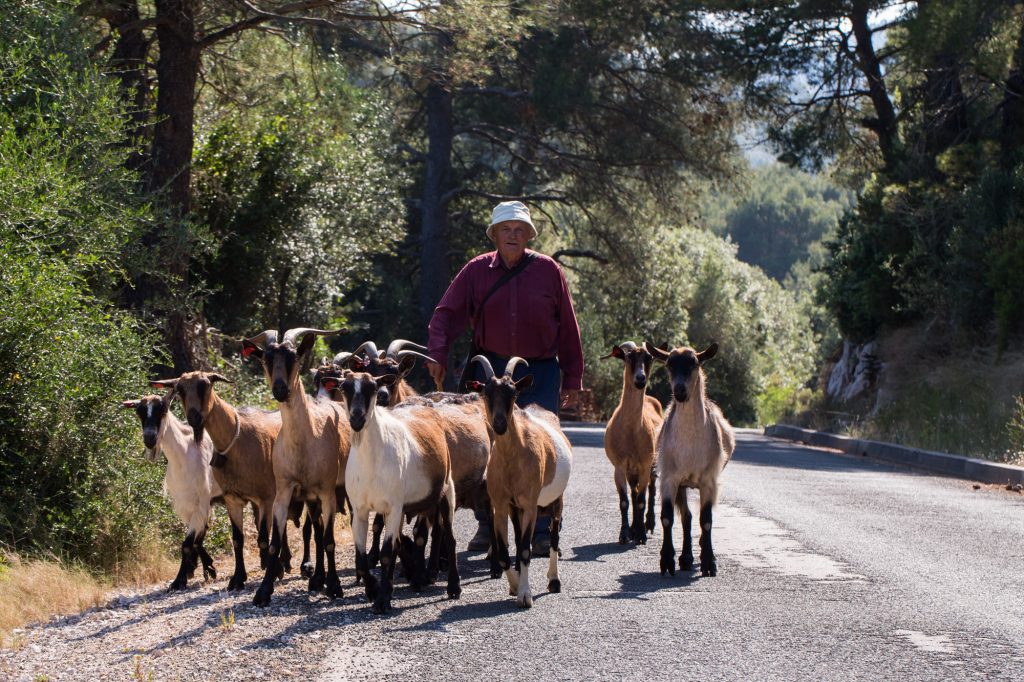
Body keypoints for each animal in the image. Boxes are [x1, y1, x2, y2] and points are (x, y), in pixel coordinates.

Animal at [122, 393, 221, 589]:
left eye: (163, 410)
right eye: (139, 412)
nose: (150, 439)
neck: (185, 455)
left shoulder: (201, 504)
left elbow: (188, 543)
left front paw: (179, 580)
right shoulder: (185, 506)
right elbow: (197, 539)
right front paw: (202, 568)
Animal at [241, 327, 350, 602]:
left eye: (293, 357)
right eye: (267, 358)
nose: (280, 389)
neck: (304, 444)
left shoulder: (327, 491)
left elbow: (331, 540)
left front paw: (335, 586)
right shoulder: (283, 491)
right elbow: (274, 542)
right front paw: (263, 591)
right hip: (310, 499)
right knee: (317, 531)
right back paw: (317, 579)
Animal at [327, 368, 460, 614]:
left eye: (373, 388)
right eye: (344, 388)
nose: (357, 418)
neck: (371, 461)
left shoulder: (393, 507)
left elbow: (387, 554)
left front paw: (381, 602)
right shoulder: (359, 510)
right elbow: (362, 557)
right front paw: (373, 589)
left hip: (447, 492)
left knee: (450, 538)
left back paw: (453, 587)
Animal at [468, 356, 573, 606]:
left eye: (513, 393)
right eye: (486, 392)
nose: (499, 424)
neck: (511, 461)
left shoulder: (530, 504)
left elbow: (526, 548)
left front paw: (525, 594)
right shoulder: (501, 504)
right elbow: (505, 551)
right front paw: (515, 585)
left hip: (556, 500)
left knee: (554, 537)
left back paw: (554, 581)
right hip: (516, 509)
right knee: (517, 536)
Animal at [643, 339, 733, 573]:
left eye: (694, 363)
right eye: (669, 364)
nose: (680, 390)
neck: (690, 448)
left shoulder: (709, 480)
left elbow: (707, 520)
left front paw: (709, 562)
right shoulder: (669, 478)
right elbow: (667, 518)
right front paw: (667, 560)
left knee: (694, 517)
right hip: (682, 484)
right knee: (686, 516)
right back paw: (685, 557)